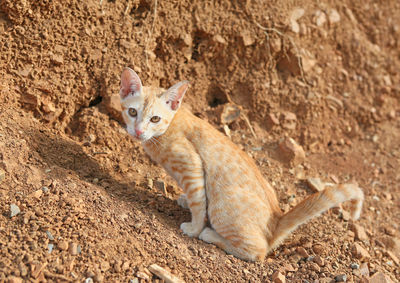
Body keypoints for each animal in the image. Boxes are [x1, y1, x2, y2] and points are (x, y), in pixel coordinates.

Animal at [118, 67, 362, 262]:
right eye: (132, 112)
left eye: (155, 119)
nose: (138, 131)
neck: (167, 129)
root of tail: (277, 220)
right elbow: (195, 199)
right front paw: (185, 200)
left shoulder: (191, 165)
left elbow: (198, 202)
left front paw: (194, 228)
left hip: (222, 207)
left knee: (257, 252)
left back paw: (210, 234)